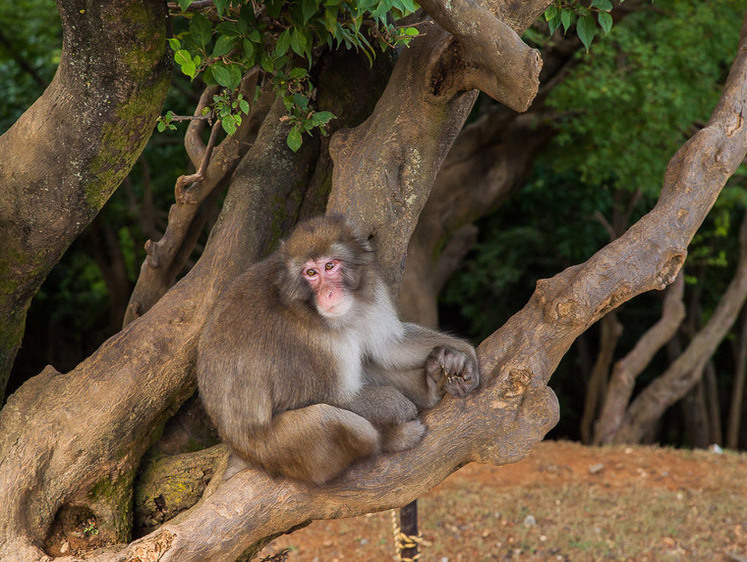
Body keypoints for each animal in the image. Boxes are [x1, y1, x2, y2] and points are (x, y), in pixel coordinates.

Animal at [199, 212, 480, 484]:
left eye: (330, 266)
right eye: (311, 273)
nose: (328, 294)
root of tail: (237, 448)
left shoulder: (371, 291)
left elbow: (390, 346)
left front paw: (464, 354)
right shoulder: (312, 342)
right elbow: (337, 397)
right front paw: (400, 405)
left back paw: (431, 385)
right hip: (276, 451)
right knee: (330, 421)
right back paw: (391, 439)